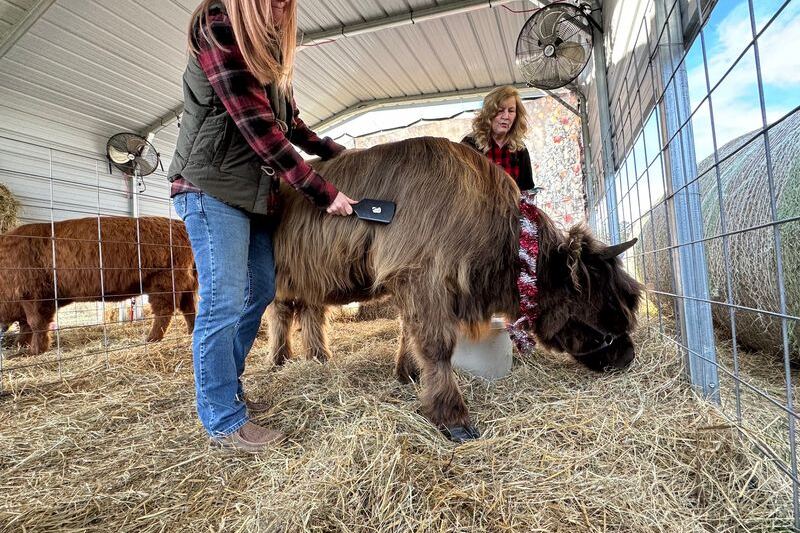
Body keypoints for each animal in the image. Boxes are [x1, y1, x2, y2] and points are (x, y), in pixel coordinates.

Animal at [0, 216, 197, 355]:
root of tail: (180, 225)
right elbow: (26, 324)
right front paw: (20, 345)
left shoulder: (34, 296)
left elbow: (35, 323)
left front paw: (34, 350)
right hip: (185, 282)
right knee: (189, 308)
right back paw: (191, 332)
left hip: (164, 281)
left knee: (165, 311)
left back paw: (151, 339)